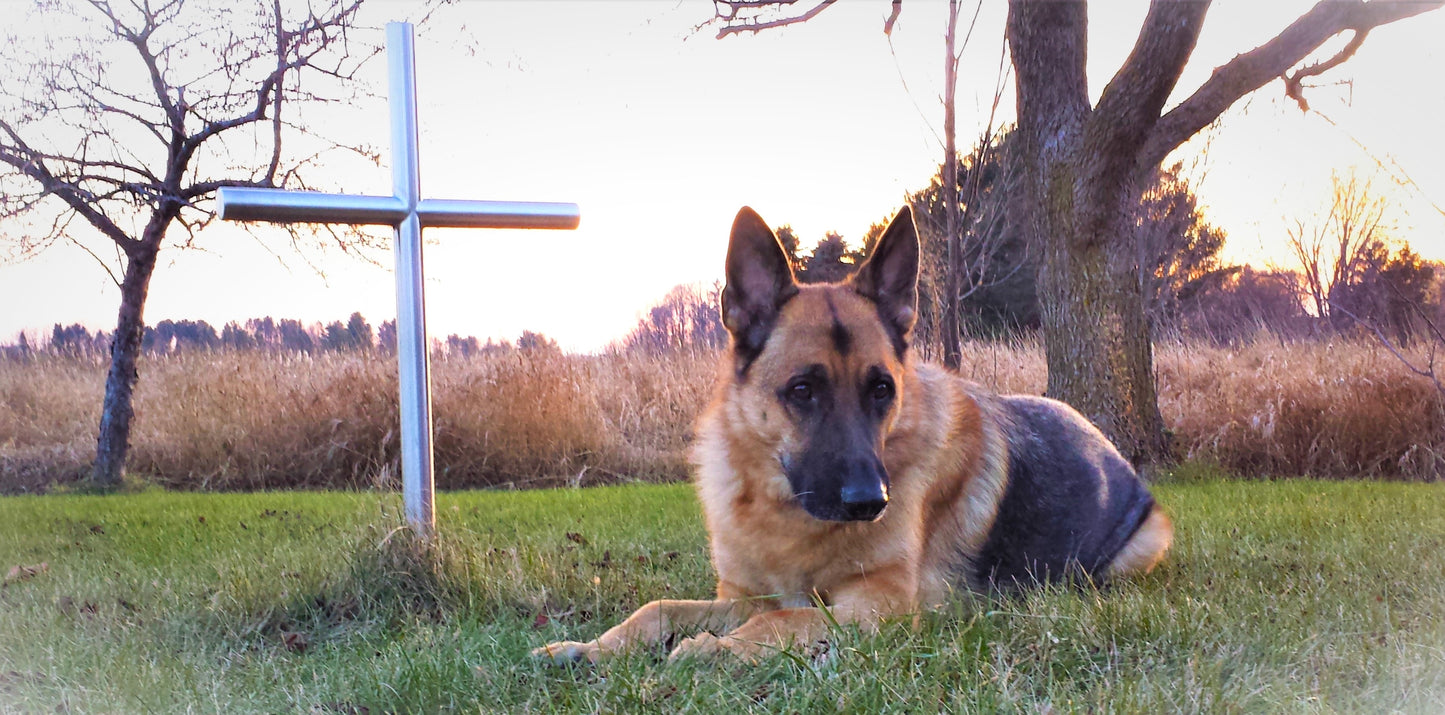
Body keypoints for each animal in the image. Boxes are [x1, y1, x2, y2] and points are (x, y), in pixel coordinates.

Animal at [537, 203, 1167, 664]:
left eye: (881, 389)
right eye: (802, 390)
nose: (871, 502)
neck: (783, 515)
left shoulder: (876, 606)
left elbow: (786, 617)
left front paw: (709, 650)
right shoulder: (739, 596)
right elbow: (659, 607)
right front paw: (588, 648)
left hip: (1144, 544)